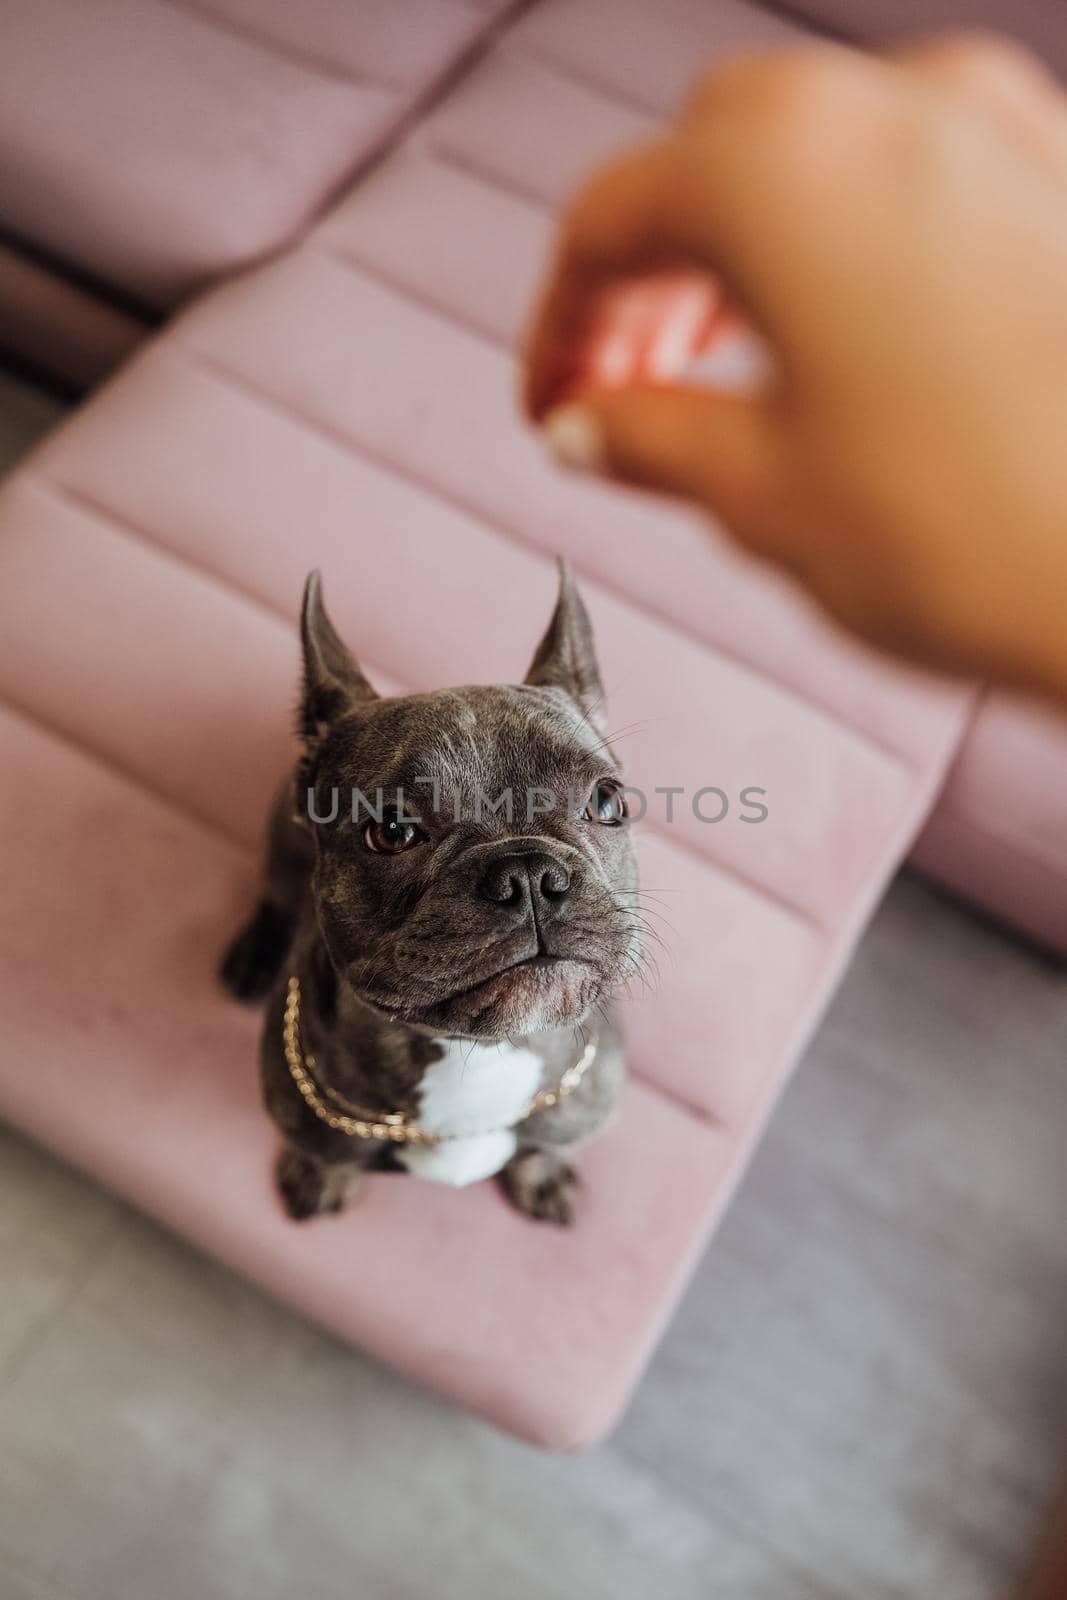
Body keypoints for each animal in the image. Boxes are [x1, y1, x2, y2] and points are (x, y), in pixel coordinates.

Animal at [220, 569, 639, 1228]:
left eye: (607, 801)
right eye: (391, 831)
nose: (528, 873)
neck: (481, 1053)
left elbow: (543, 1149)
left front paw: (542, 1174)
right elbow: (327, 1156)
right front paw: (320, 1178)